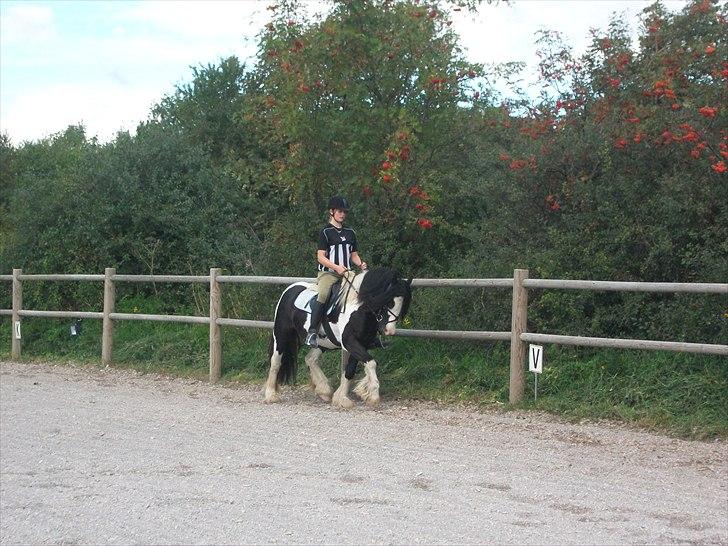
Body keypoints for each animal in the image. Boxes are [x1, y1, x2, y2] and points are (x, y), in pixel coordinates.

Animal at [264, 266, 412, 406]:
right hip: (281, 335)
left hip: (323, 343)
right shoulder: (350, 342)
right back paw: (271, 395)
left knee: (310, 359)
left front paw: (340, 398)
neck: (358, 308)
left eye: (403, 304)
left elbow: (350, 370)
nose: (389, 330)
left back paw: (324, 391)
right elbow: (370, 363)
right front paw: (372, 397)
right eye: (390, 301)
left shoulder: (361, 343)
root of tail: (289, 289)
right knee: (276, 362)